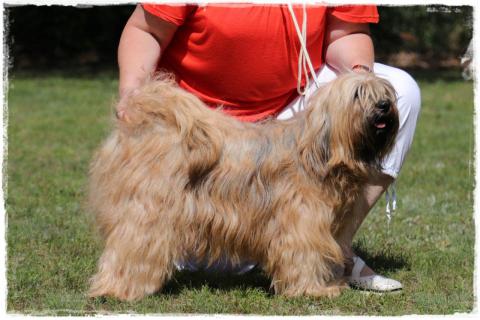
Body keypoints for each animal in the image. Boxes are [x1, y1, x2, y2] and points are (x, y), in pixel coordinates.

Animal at [86, 72, 398, 300]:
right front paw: (316, 289)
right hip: (148, 213)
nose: (384, 106)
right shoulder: (301, 223)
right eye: (358, 94)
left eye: (385, 93)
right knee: (132, 247)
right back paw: (118, 289)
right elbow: (305, 253)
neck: (316, 151)